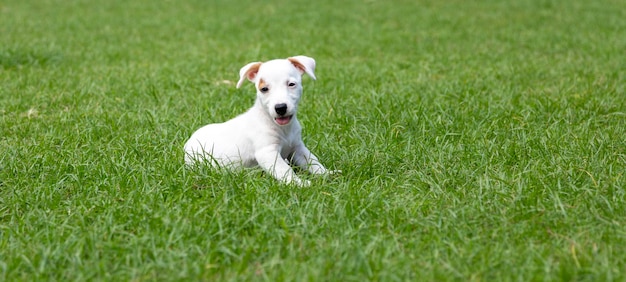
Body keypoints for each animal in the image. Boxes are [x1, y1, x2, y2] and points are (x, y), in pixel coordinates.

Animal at [183, 56, 334, 186]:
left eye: (291, 84)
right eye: (264, 89)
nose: (280, 108)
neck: (281, 127)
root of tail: (189, 142)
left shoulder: (297, 147)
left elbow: (313, 161)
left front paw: (327, 173)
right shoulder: (267, 153)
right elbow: (285, 170)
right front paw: (300, 183)